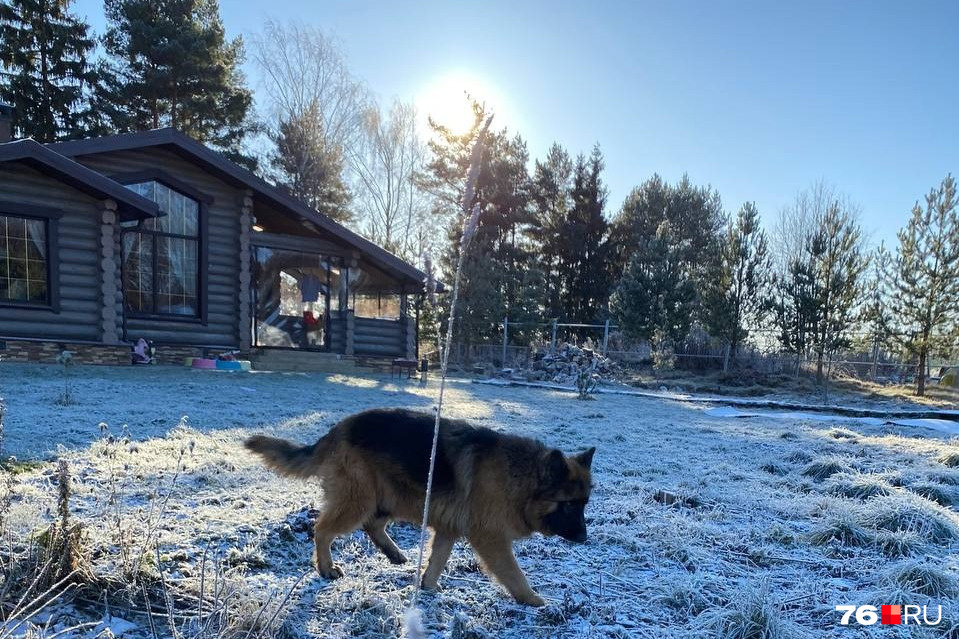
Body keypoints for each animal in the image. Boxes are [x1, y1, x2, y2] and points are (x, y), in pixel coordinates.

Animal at [244, 408, 596, 608]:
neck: (521, 477)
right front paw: (534, 601)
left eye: (583, 504)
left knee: (372, 525)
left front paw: (428, 587)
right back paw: (326, 567)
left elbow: (437, 560)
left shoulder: (448, 530)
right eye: (568, 505)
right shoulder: (492, 541)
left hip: (391, 499)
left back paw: (394, 553)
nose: (584, 539)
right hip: (360, 501)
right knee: (322, 529)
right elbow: (513, 574)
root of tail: (337, 430)